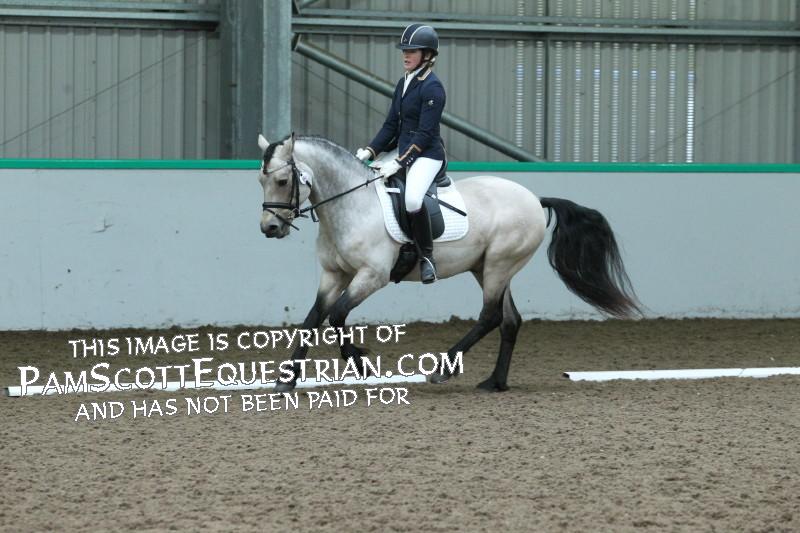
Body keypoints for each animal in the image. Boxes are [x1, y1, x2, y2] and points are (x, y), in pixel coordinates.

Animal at [257, 133, 641, 392]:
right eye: (261, 180)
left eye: (283, 180)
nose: (269, 228)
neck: (352, 206)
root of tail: (534, 198)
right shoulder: (333, 274)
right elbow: (313, 319)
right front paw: (286, 379)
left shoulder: (372, 276)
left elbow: (336, 315)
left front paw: (363, 365)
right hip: (489, 268)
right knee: (510, 320)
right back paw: (494, 382)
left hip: (499, 265)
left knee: (490, 316)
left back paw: (444, 368)